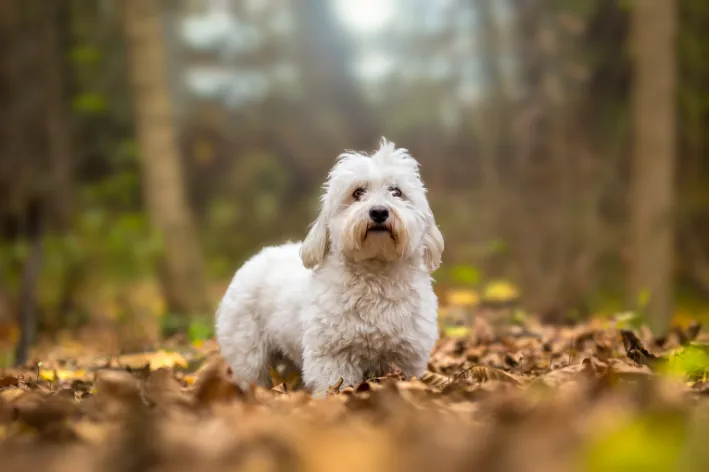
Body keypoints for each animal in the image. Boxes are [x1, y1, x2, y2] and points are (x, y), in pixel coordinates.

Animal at [214, 138, 442, 392]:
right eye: (357, 192)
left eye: (396, 191)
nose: (379, 212)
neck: (375, 271)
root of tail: (252, 260)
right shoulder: (333, 356)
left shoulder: (408, 356)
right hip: (249, 352)